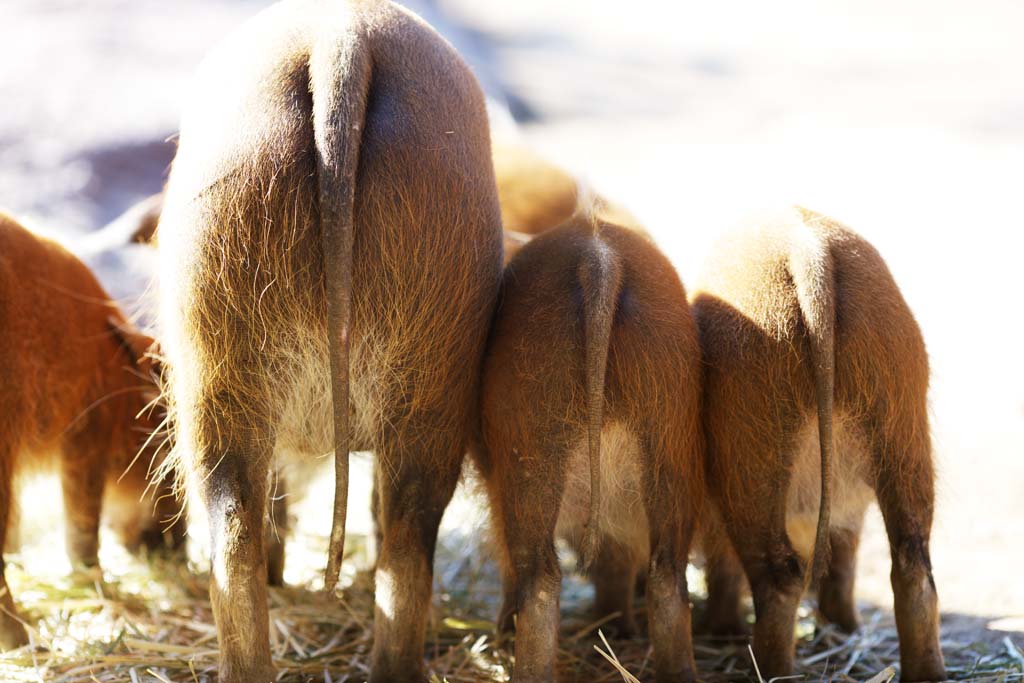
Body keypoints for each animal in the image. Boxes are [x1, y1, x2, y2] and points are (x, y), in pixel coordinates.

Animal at [0, 210, 182, 651]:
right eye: (170, 461)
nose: (176, 551)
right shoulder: (83, 437)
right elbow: (83, 523)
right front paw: (90, 578)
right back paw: (23, 639)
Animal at [692, 205, 946, 679]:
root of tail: (812, 255)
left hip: (754, 443)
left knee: (779, 576)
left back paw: (767, 667)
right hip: (901, 418)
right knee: (912, 565)